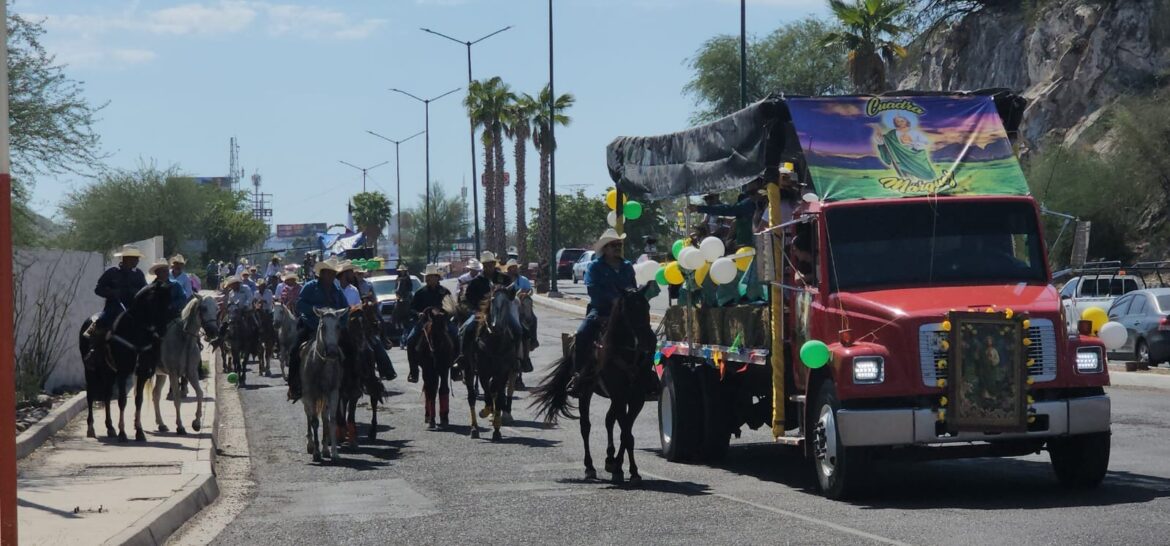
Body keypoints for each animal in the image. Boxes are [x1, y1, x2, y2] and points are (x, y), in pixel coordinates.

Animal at [153, 296, 219, 434]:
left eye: (216, 309)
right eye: (203, 308)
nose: (213, 332)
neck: (184, 340)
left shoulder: (191, 373)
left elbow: (200, 393)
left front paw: (196, 423)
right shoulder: (173, 374)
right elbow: (177, 398)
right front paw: (180, 426)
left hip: (160, 375)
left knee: (155, 395)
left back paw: (161, 424)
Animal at [299, 310, 343, 462]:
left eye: (338, 326)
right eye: (323, 326)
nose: (332, 353)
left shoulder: (333, 392)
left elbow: (331, 420)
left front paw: (333, 452)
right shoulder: (310, 394)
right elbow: (314, 422)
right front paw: (316, 453)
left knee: (323, 416)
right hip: (306, 397)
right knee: (308, 415)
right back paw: (310, 444)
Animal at [533, 284, 659, 484]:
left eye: (647, 306)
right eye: (629, 309)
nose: (649, 340)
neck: (626, 353)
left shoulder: (636, 399)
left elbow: (627, 433)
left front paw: (629, 470)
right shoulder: (619, 395)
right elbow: (625, 432)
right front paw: (618, 468)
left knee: (609, 420)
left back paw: (610, 457)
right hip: (585, 392)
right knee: (586, 426)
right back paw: (590, 467)